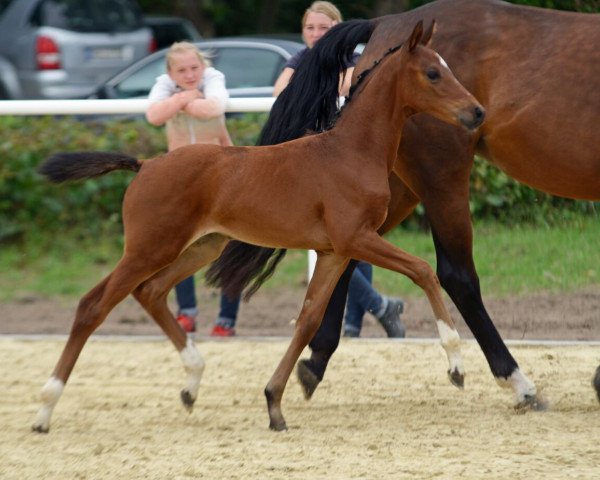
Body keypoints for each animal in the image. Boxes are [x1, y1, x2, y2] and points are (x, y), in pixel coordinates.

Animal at [31, 22, 482, 434]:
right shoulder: (357, 238)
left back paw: (192, 381)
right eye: (433, 73)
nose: (477, 112)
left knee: (151, 291)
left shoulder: (336, 251)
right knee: (94, 305)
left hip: (202, 246)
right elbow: (423, 270)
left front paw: (274, 405)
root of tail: (144, 165)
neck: (350, 151)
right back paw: (45, 409)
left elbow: (308, 319)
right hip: (149, 247)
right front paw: (457, 366)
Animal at [207, 0, 600, 406]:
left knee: (347, 267)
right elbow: (432, 271)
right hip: (438, 178)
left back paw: (314, 363)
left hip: (395, 195)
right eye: (433, 73)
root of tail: (385, 22)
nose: (478, 112)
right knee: (456, 274)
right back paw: (516, 381)